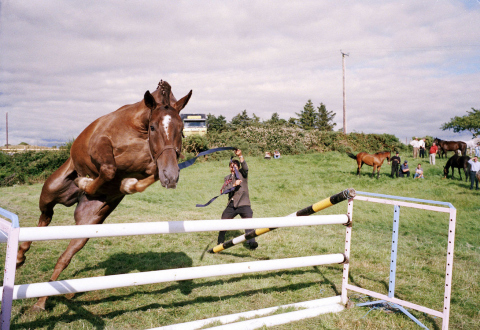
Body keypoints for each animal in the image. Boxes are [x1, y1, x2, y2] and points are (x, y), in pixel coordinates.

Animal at [16, 79, 193, 310]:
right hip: (49, 194)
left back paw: (42, 300)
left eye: (181, 129)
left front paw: (125, 185)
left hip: (87, 225)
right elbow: (108, 169)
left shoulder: (153, 166)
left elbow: (139, 179)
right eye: (153, 127)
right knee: (44, 218)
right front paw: (84, 181)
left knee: (64, 258)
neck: (138, 130)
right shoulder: (100, 146)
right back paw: (20, 257)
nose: (171, 177)